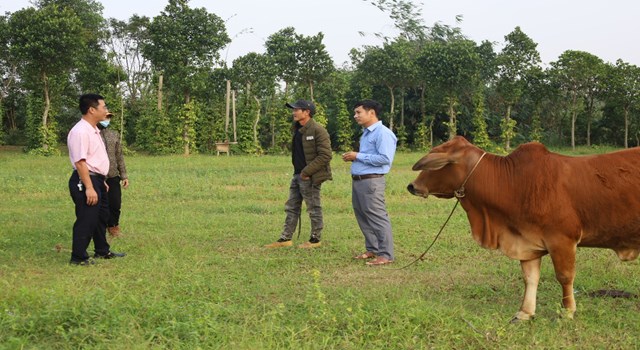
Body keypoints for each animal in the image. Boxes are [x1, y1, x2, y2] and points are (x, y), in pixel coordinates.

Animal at [408, 135, 640, 322]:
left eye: (438, 163)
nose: (412, 186)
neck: (514, 183)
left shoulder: (562, 240)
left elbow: (565, 276)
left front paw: (567, 312)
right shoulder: (527, 241)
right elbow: (530, 278)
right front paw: (525, 313)